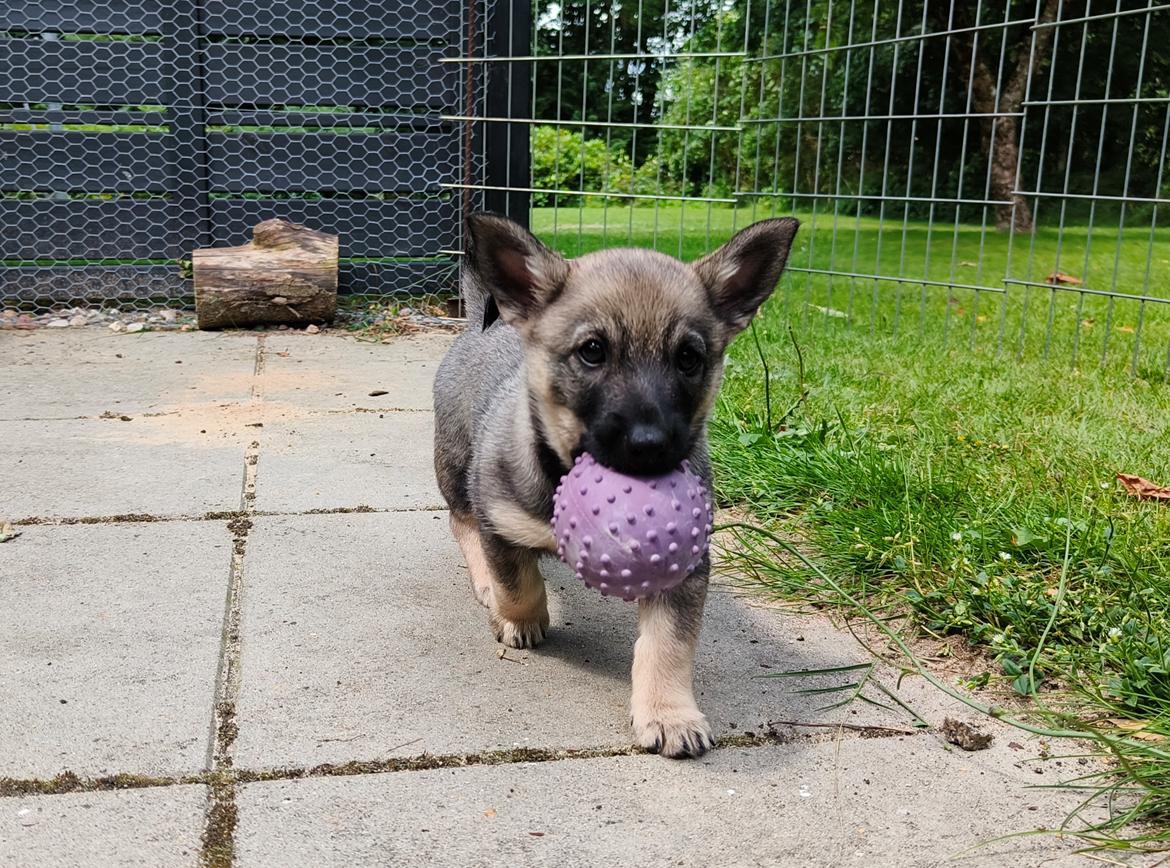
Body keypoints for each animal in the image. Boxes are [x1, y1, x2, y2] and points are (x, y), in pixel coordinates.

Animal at [435, 214, 800, 758]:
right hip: (454, 464)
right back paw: (482, 581)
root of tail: (486, 321)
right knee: (459, 521)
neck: (560, 471)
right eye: (592, 352)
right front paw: (517, 618)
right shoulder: (498, 518)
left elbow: (668, 645)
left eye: (689, 358)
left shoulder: (683, 569)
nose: (650, 445)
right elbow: (516, 582)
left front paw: (668, 714)